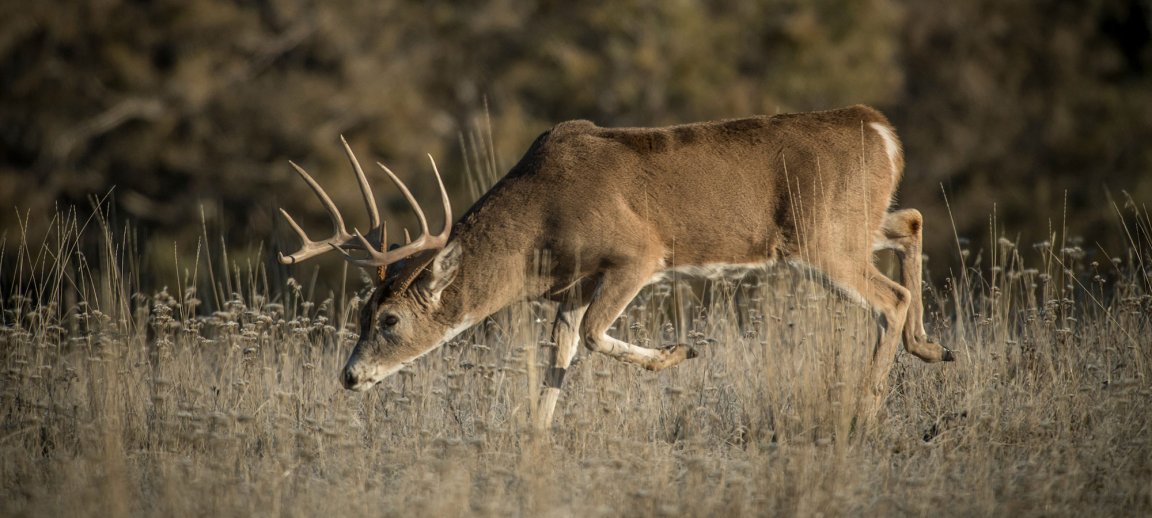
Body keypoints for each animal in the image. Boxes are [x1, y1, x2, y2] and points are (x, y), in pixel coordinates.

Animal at [278, 105, 954, 429]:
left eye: (389, 320)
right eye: (361, 314)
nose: (349, 377)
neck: (540, 226)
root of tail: (882, 130)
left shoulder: (638, 253)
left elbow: (595, 335)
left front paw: (680, 353)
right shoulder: (573, 285)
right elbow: (561, 352)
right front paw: (533, 444)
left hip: (823, 238)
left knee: (889, 298)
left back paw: (864, 413)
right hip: (853, 224)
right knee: (912, 219)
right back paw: (932, 346)